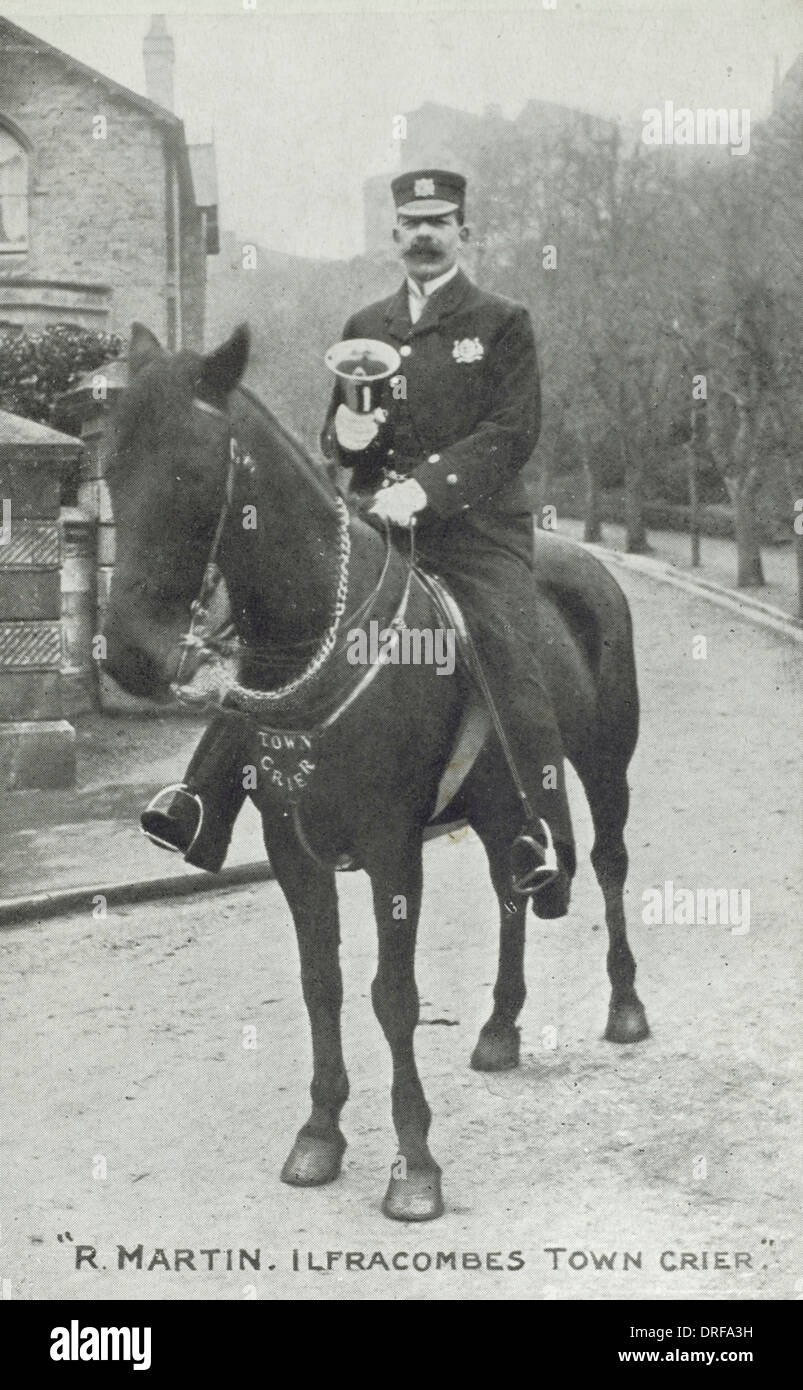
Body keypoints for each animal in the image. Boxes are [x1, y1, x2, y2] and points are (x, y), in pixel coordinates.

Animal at [102, 319, 647, 1223]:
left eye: (191, 469)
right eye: (108, 467)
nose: (128, 657)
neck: (321, 637)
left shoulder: (394, 847)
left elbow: (393, 996)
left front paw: (415, 1165)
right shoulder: (292, 849)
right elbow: (319, 983)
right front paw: (320, 1133)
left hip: (606, 764)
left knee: (606, 863)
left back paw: (627, 1005)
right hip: (499, 801)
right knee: (511, 883)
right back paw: (500, 1026)